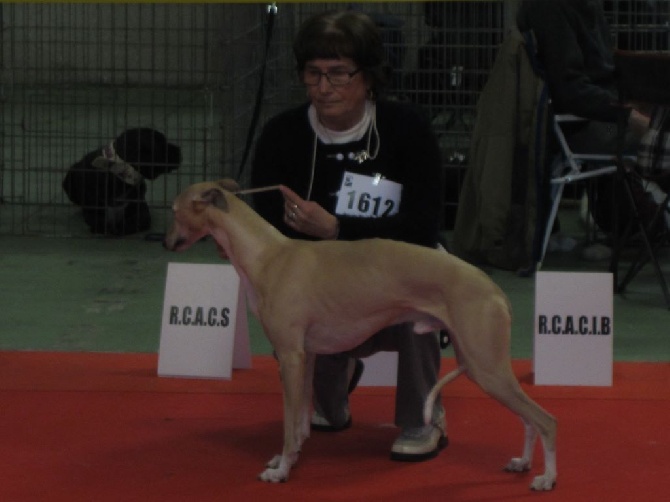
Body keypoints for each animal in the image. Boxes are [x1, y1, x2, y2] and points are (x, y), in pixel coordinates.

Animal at [161, 179, 556, 490]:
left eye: (175, 210)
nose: (165, 243)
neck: (267, 255)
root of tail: (493, 288)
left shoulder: (289, 356)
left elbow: (289, 424)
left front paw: (281, 471)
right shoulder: (306, 356)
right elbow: (299, 423)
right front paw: (289, 458)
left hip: (485, 366)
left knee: (545, 420)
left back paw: (547, 479)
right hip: (481, 365)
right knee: (528, 420)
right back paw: (522, 464)